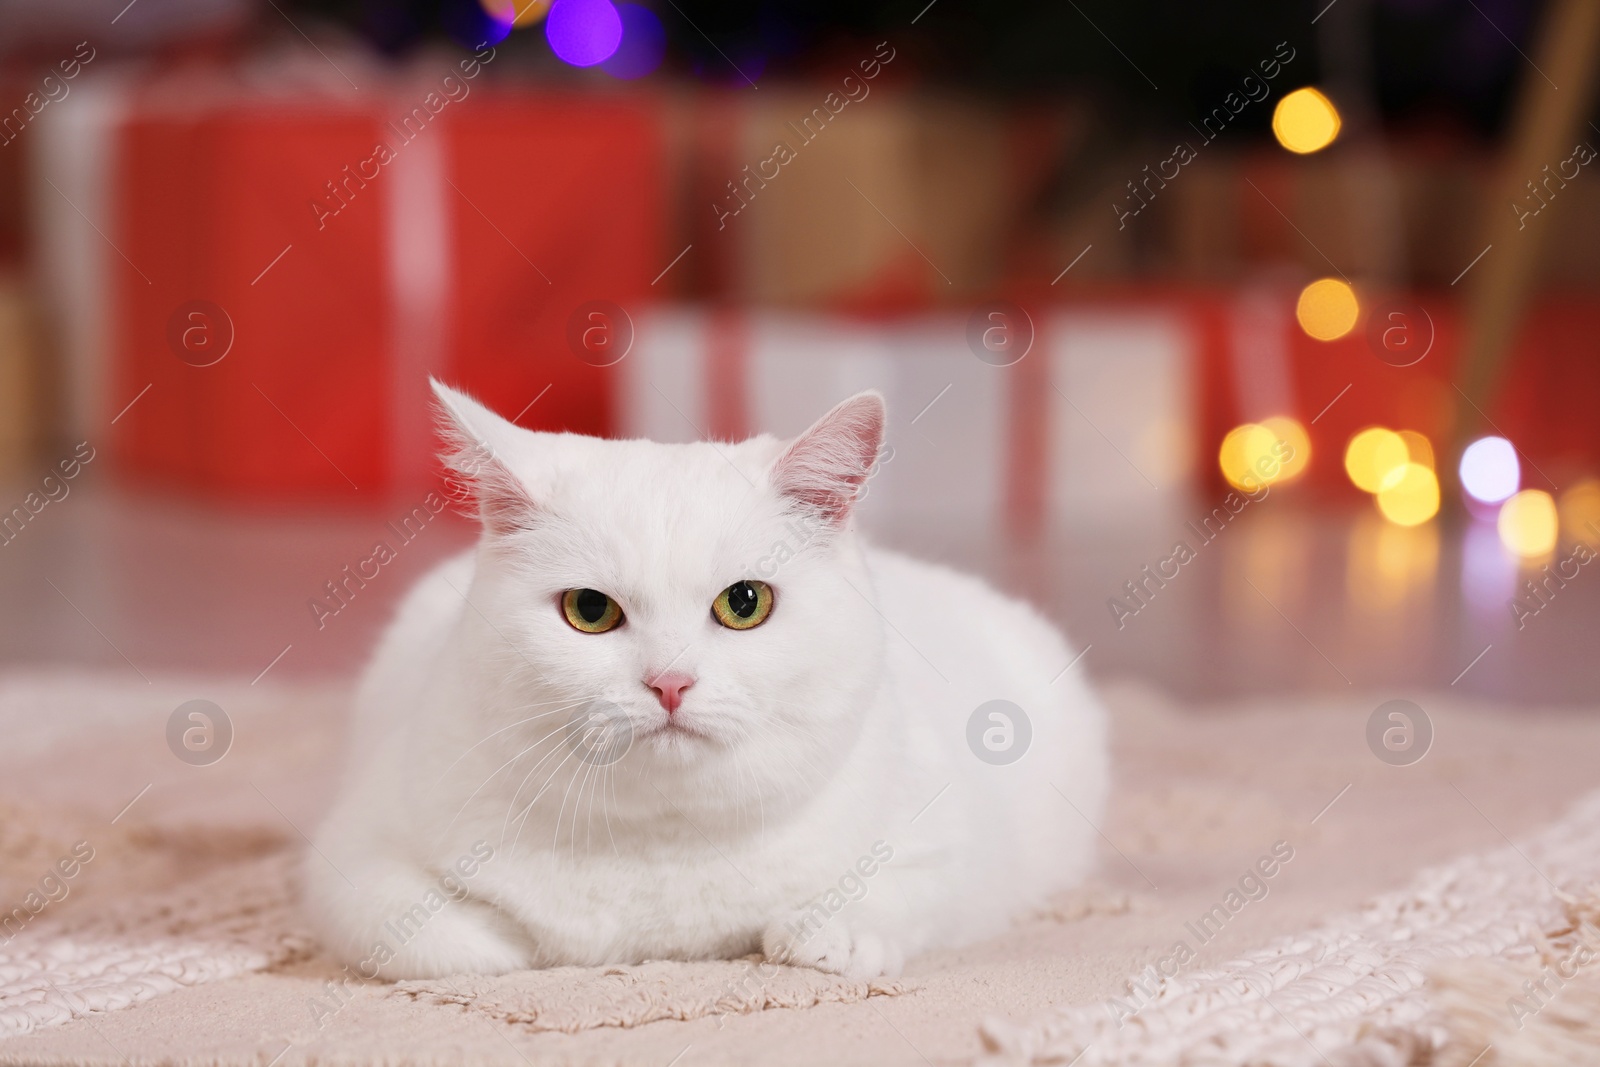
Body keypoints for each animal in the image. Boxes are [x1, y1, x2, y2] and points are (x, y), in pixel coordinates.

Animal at [305, 383, 1107, 985]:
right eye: (589, 610)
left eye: (744, 602)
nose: (670, 682)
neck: (662, 848)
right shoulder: (354, 845)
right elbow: (420, 933)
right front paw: (505, 941)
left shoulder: (956, 839)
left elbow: (906, 889)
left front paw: (834, 932)